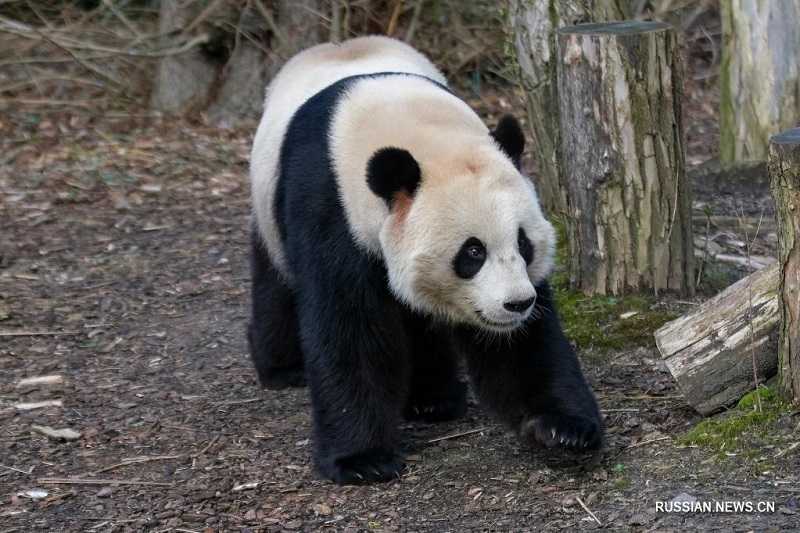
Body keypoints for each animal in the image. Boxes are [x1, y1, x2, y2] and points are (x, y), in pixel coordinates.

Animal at [247, 35, 604, 484]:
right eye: (473, 252)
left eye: (523, 243)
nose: (517, 304)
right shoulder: (330, 208)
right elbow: (348, 327)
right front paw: (362, 459)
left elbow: (524, 345)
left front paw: (563, 427)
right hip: (268, 208)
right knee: (275, 284)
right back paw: (281, 369)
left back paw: (434, 399)